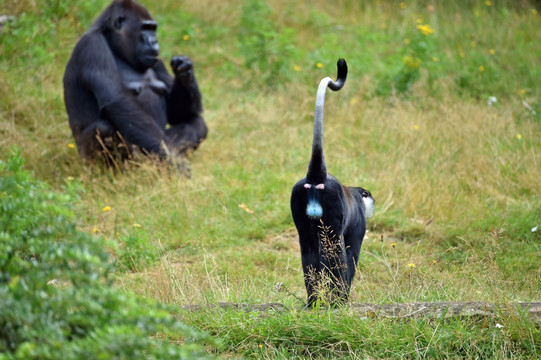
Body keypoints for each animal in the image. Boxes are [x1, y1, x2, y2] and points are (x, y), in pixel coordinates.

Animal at [62, 0, 207, 162]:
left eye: (153, 29)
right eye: (145, 28)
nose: (154, 41)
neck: (112, 42)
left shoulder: (157, 61)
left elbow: (177, 114)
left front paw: (185, 73)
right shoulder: (92, 45)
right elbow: (117, 100)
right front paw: (173, 162)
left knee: (197, 124)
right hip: (85, 158)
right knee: (104, 128)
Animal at [288, 59, 374, 306]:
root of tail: (316, 177)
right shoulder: (359, 224)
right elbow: (350, 255)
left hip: (300, 206)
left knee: (309, 251)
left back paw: (313, 301)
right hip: (332, 214)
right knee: (336, 254)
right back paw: (338, 301)